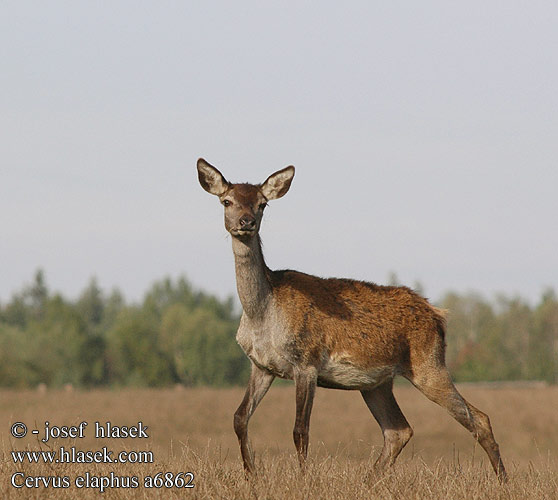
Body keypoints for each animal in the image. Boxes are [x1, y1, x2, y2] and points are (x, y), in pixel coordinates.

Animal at [199, 158, 510, 482]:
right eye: (227, 201)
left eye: (262, 204)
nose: (246, 222)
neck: (261, 315)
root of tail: (437, 315)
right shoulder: (261, 366)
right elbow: (239, 418)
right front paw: (251, 476)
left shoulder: (306, 362)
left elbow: (300, 430)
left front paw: (303, 479)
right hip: (376, 383)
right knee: (398, 430)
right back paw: (370, 480)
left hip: (429, 364)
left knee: (479, 418)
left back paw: (503, 481)